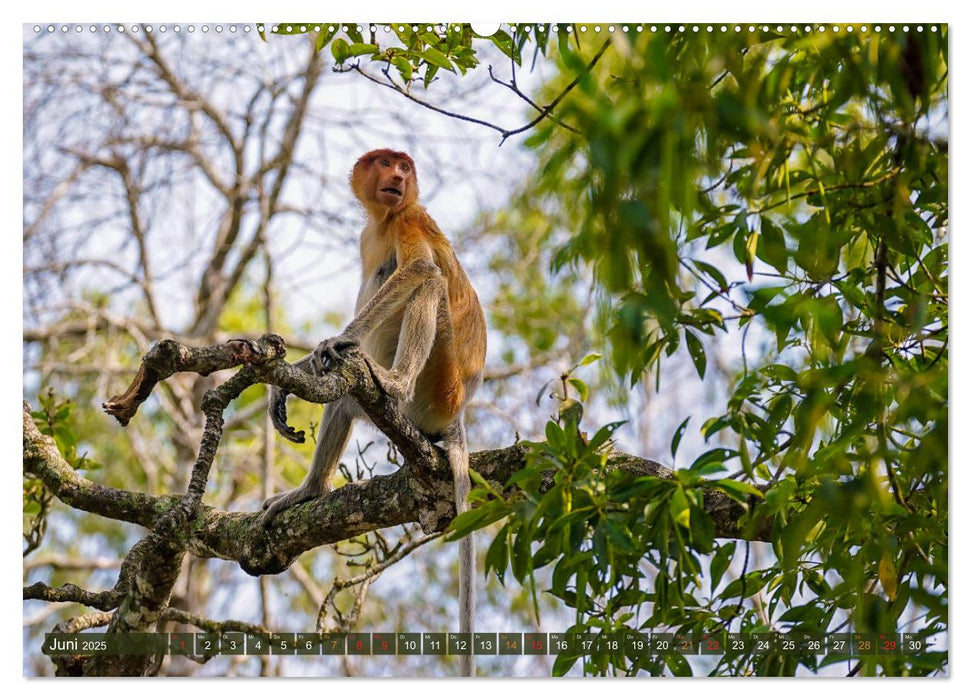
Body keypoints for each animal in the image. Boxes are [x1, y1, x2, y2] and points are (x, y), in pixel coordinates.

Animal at [262, 149, 486, 680]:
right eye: (386, 163)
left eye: (404, 165)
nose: (400, 176)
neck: (385, 219)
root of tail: (459, 408)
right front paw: (288, 381)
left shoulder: (410, 217)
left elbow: (420, 269)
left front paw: (336, 341)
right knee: (345, 400)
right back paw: (310, 491)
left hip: (437, 385)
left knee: (428, 281)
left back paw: (393, 380)